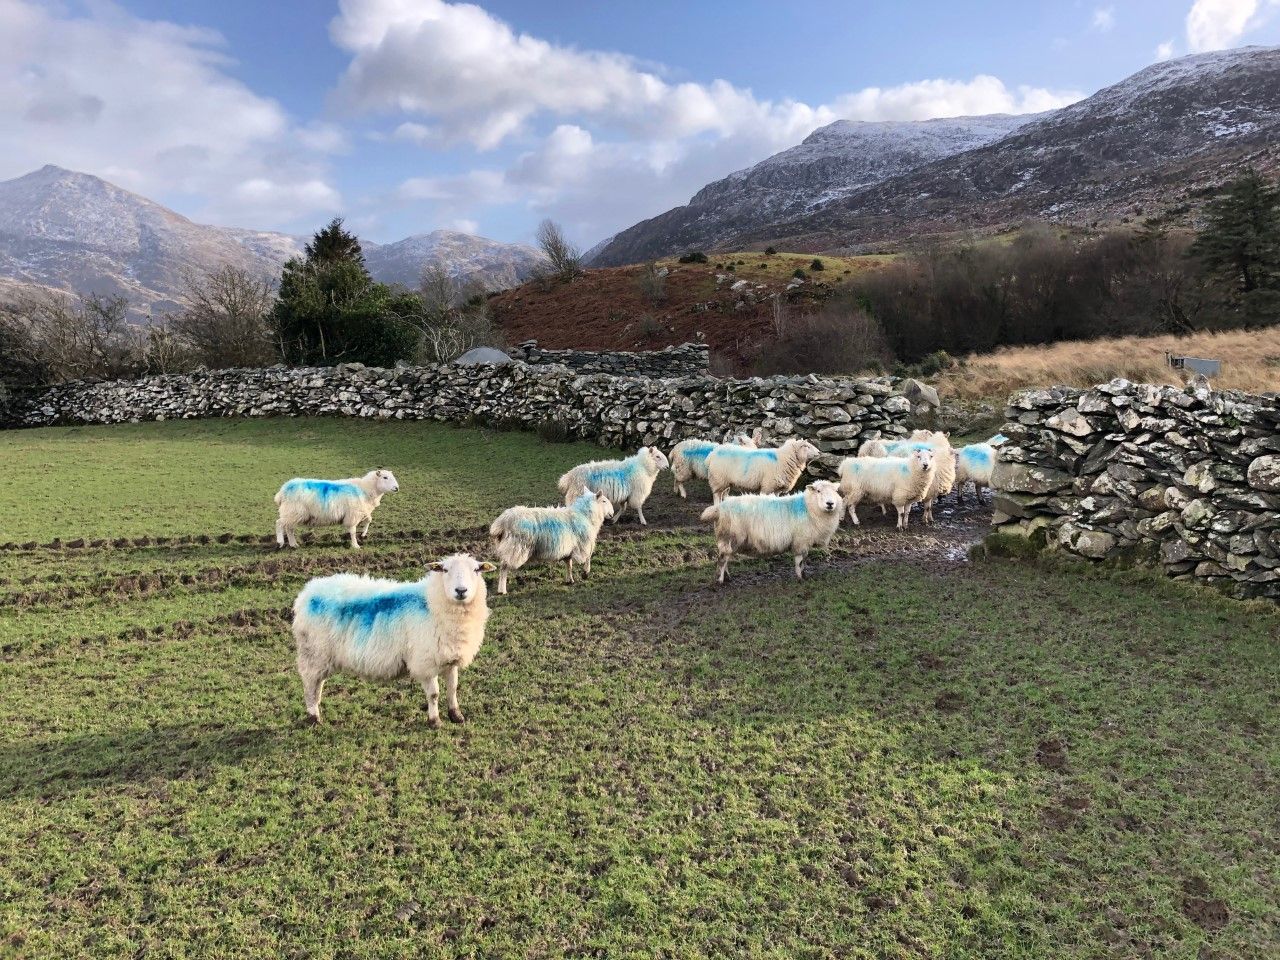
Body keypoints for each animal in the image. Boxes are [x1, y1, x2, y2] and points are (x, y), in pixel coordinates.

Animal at [292, 553, 495, 726]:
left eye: (476, 570)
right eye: (444, 570)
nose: (461, 591)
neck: (432, 604)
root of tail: (307, 592)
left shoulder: (449, 658)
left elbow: (453, 689)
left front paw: (456, 715)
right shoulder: (425, 662)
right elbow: (434, 694)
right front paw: (435, 721)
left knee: (318, 685)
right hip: (313, 653)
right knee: (310, 685)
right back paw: (313, 717)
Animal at [701, 480, 843, 583]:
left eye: (835, 491)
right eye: (818, 491)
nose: (830, 504)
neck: (809, 508)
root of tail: (720, 507)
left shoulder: (804, 542)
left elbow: (803, 560)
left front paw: (804, 576)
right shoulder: (800, 541)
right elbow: (799, 561)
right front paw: (801, 578)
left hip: (727, 538)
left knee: (725, 557)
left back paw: (727, 578)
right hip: (730, 536)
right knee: (722, 559)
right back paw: (720, 581)